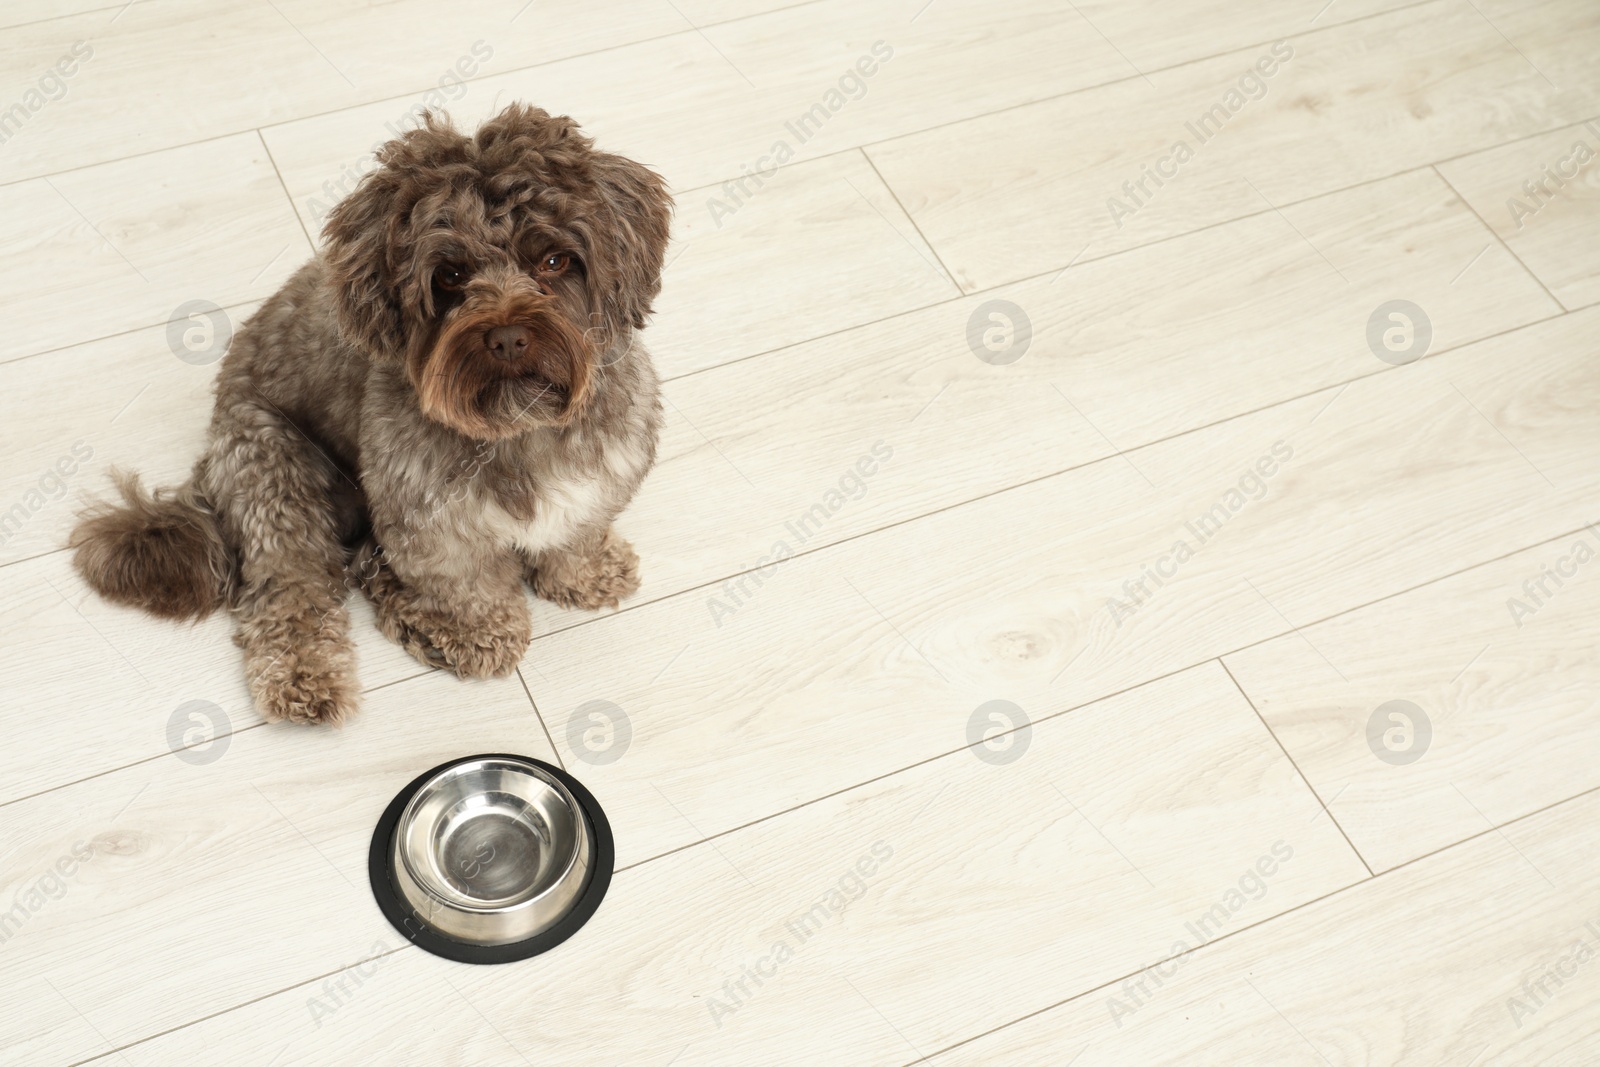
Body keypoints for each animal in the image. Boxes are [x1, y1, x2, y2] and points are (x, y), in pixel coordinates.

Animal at [67, 103, 668, 726]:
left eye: (554, 260)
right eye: (450, 275)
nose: (507, 338)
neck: (518, 428)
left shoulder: (602, 478)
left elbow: (576, 536)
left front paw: (587, 574)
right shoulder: (427, 524)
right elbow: (466, 584)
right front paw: (478, 632)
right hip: (274, 474)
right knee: (290, 589)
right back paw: (309, 677)